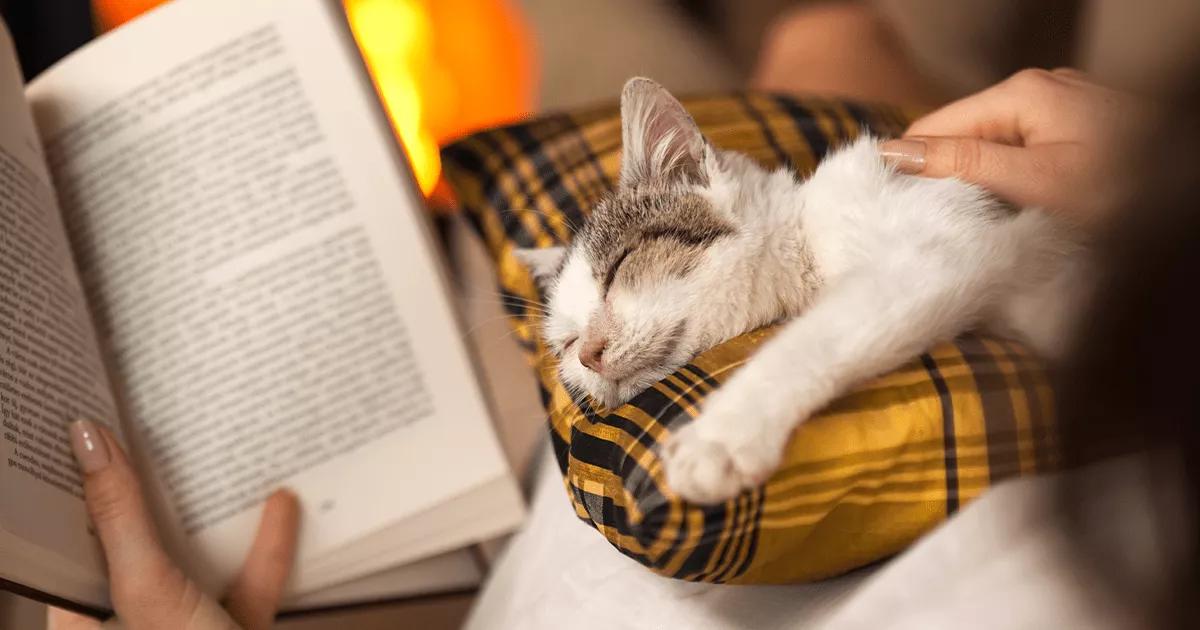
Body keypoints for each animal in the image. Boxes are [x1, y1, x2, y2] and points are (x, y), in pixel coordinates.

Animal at [516, 78, 1089, 504]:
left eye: (618, 267)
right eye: (567, 345)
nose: (589, 354)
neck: (806, 240)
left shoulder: (938, 250)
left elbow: (812, 339)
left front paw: (721, 435)